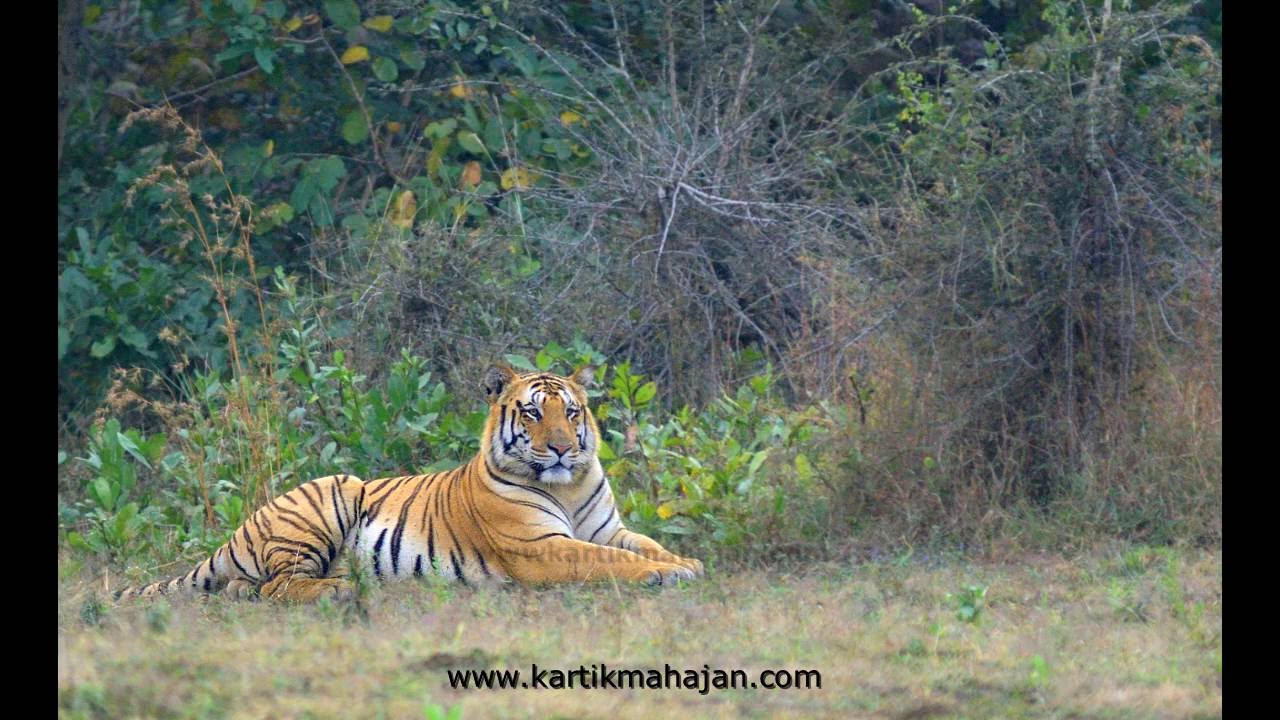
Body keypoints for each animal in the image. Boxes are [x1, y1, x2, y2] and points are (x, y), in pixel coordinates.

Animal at [115, 364, 704, 602]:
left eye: (572, 412)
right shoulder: (542, 547)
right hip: (332, 493)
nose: (561, 447)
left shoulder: (607, 528)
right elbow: (608, 560)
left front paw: (685, 562)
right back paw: (340, 590)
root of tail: (245, 525)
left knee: (254, 588)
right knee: (283, 586)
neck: (567, 484)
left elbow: (642, 543)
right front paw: (663, 574)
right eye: (534, 413)